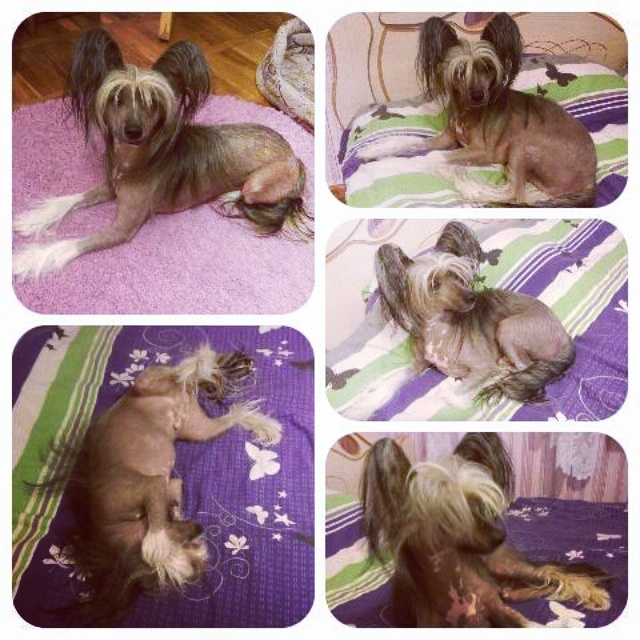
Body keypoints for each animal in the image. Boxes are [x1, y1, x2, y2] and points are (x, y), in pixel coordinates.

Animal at [13, 28, 311, 279]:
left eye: (152, 102)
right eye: (116, 98)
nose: (133, 131)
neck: (132, 161)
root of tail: (294, 157)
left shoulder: (122, 229)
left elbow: (70, 244)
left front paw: (26, 260)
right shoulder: (110, 187)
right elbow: (71, 199)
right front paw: (33, 219)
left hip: (257, 185)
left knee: (248, 194)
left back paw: (229, 194)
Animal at [52, 344, 282, 626]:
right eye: (189, 551)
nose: (199, 532)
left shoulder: (153, 488)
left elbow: (155, 536)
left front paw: (158, 538)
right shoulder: (167, 484)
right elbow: (162, 519)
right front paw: (169, 520)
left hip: (151, 384)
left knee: (187, 368)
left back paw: (207, 364)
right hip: (195, 426)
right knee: (224, 405)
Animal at [360, 13, 597, 207]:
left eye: (487, 67)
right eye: (459, 70)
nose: (478, 95)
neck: (467, 112)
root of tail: (591, 179)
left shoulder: (481, 150)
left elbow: (430, 157)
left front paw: (387, 166)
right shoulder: (446, 139)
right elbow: (411, 141)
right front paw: (374, 150)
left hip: (524, 144)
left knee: (514, 194)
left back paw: (469, 185)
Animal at [360, 434, 611, 627]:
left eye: (481, 503)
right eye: (451, 512)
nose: (501, 536)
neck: (454, 574)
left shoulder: (500, 611)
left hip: (507, 567)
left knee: (552, 572)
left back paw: (594, 593)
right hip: (509, 587)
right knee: (537, 586)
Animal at [374, 221, 575, 405]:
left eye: (456, 275)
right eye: (433, 284)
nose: (472, 297)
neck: (439, 329)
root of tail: (566, 338)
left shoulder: (482, 366)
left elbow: (450, 396)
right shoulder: (420, 362)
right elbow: (401, 375)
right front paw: (378, 394)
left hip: (507, 327)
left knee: (525, 367)